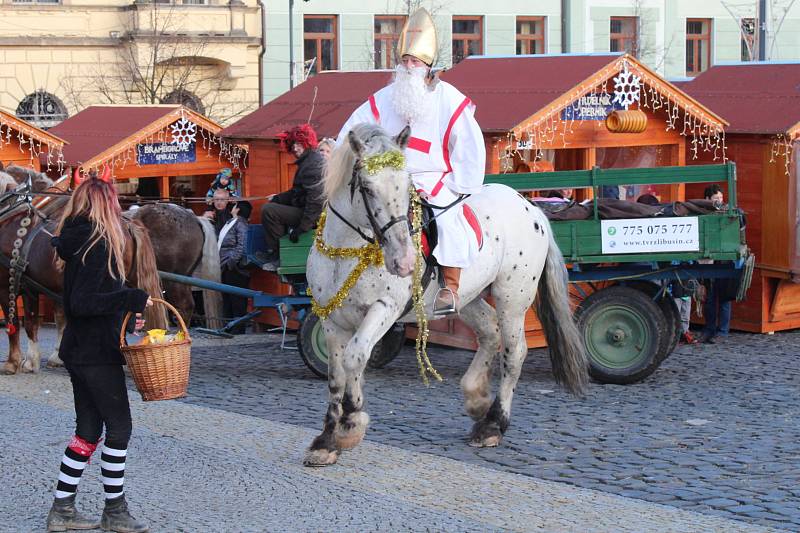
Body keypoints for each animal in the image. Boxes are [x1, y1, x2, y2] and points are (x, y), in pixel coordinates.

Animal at [300, 123, 588, 466]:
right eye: (367, 188)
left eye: (407, 185)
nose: (404, 261)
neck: (346, 251)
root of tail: (532, 208)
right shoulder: (330, 319)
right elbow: (336, 375)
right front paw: (327, 440)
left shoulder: (383, 309)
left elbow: (355, 357)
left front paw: (351, 423)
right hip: (468, 298)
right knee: (490, 332)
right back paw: (477, 399)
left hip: (512, 299)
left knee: (514, 351)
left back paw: (493, 424)